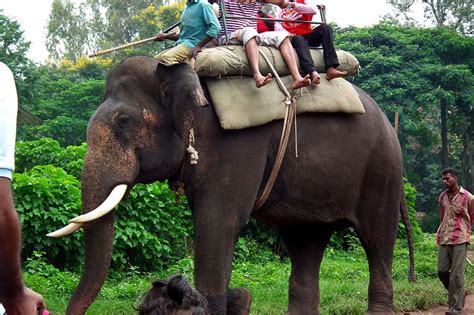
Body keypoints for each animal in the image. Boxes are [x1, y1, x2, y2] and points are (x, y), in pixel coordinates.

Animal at [49, 55, 414, 314]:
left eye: (124, 121)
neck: (181, 72)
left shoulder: (238, 147)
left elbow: (217, 223)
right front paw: (238, 298)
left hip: (382, 169)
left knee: (377, 238)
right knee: (304, 243)